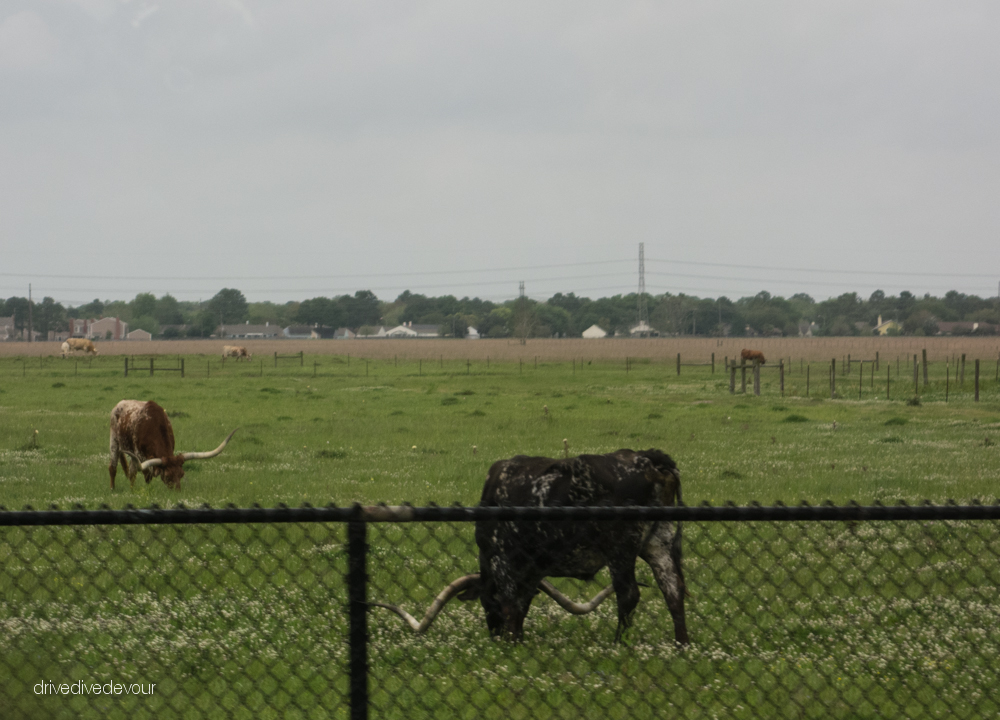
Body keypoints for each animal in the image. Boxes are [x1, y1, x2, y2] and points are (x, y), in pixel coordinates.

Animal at [108, 396, 238, 492]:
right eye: (167, 476)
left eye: (181, 474)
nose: (177, 492)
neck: (153, 424)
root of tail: (120, 403)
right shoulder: (139, 454)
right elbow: (146, 474)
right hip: (114, 441)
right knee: (114, 467)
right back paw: (114, 489)